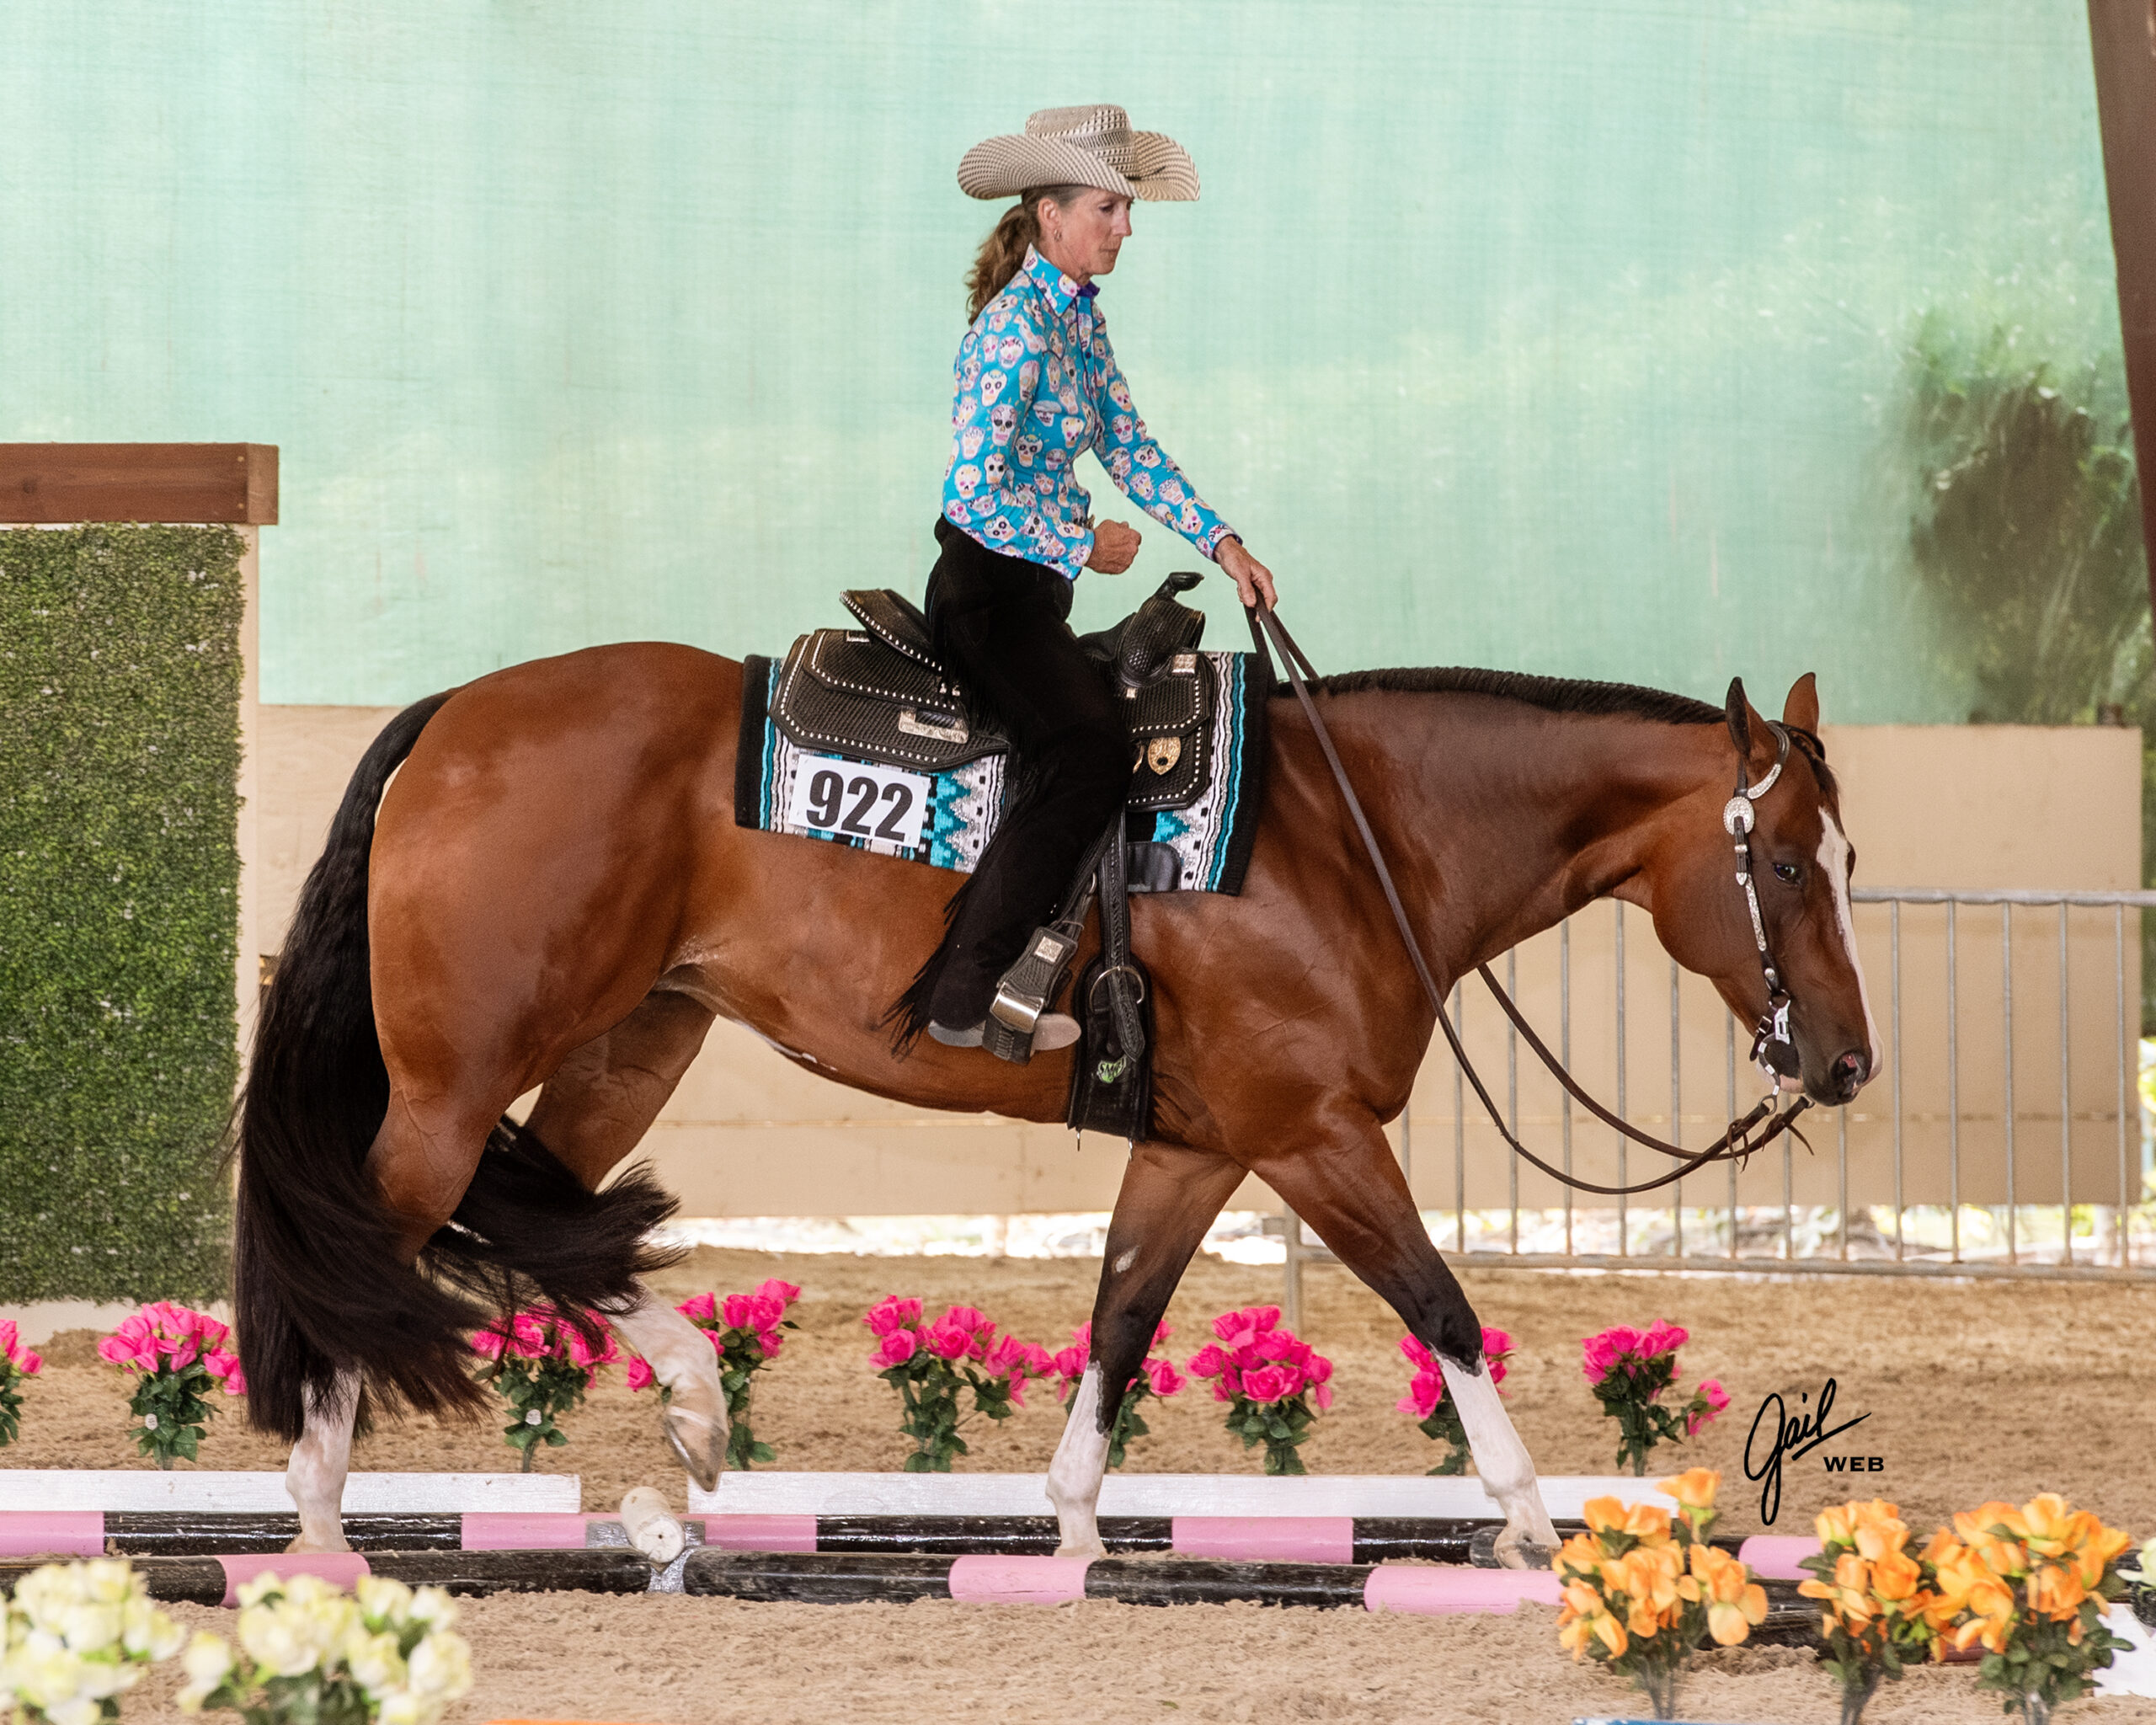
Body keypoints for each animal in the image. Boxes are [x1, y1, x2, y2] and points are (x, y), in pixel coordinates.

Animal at [235, 640, 1877, 1563]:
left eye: (1851, 858)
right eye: (1791, 861)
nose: (1848, 1064)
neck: (1357, 838)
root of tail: (450, 718)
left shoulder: (1203, 1146)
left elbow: (1124, 1312)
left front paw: (1078, 1520)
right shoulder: (1315, 1135)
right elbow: (1442, 1304)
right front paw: (1527, 1508)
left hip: (634, 1036)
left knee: (537, 1214)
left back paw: (693, 1408)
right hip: (460, 1070)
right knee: (392, 1222)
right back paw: (316, 1502)